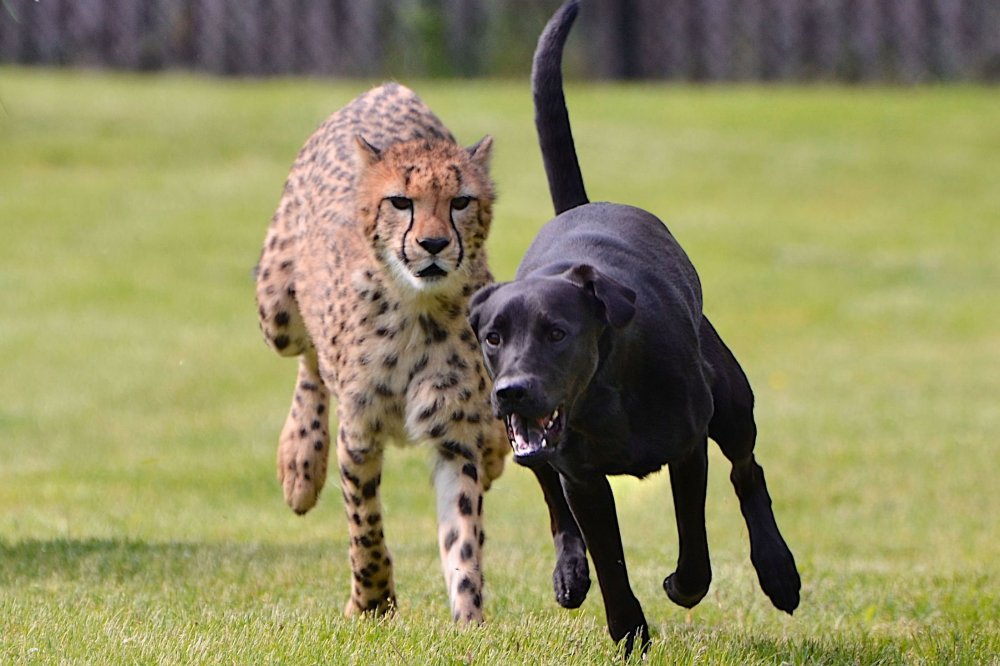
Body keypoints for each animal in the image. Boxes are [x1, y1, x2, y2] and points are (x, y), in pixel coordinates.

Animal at [256, 84, 508, 624]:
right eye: (400, 202)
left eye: (460, 201)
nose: (432, 243)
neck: (417, 310)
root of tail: (388, 88)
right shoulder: (360, 435)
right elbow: (364, 525)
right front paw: (372, 601)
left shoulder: (455, 439)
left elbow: (463, 539)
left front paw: (469, 620)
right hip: (277, 310)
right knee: (310, 361)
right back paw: (301, 462)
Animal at [464, 0, 800, 652]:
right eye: (493, 337)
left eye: (556, 332)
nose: (511, 390)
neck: (604, 391)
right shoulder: (581, 475)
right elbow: (606, 552)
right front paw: (627, 629)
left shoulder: (688, 447)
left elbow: (694, 543)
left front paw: (680, 588)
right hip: (529, 447)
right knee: (552, 501)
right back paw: (569, 573)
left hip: (732, 400)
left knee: (748, 469)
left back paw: (778, 572)